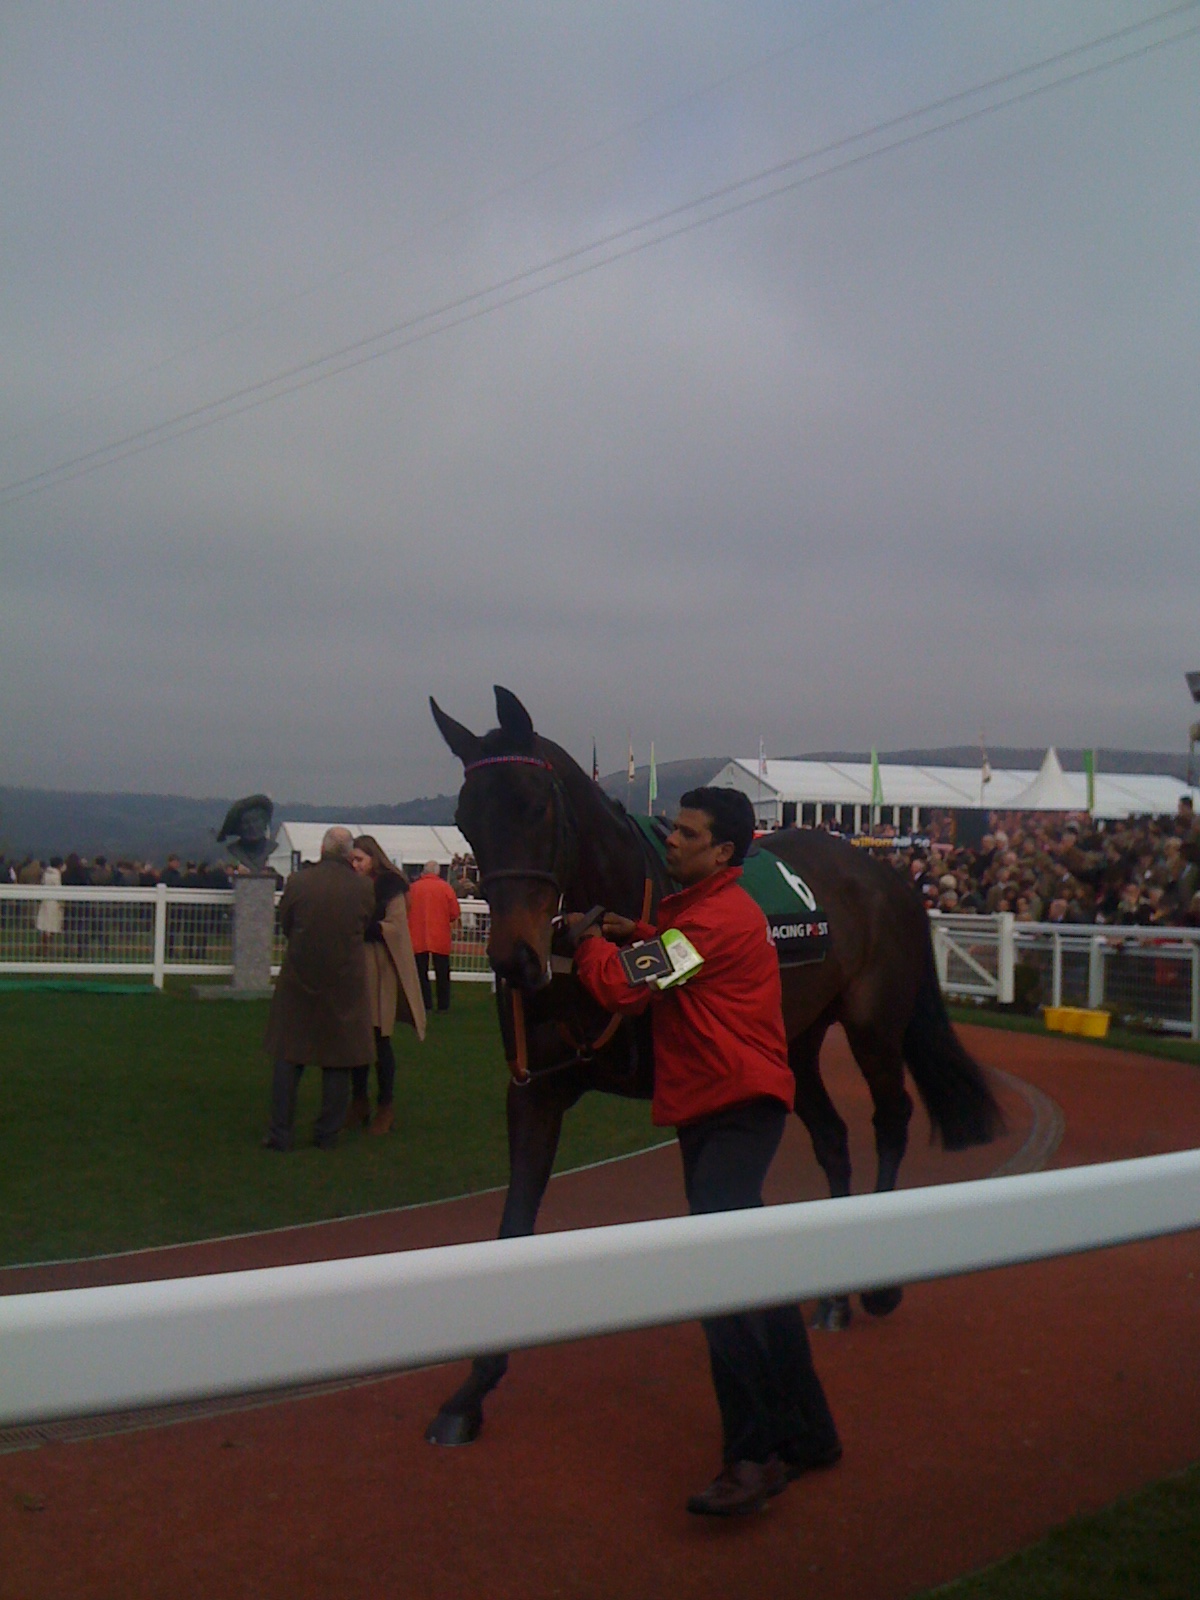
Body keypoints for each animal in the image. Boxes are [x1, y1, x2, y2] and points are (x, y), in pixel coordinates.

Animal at [424, 686, 1002, 1445]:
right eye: (466, 819)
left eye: (534, 806)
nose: (514, 960)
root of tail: (881, 871)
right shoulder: (535, 1092)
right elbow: (514, 1225)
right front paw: (471, 1391)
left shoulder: (690, 1096)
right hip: (792, 1043)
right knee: (831, 1135)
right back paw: (834, 1297)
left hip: (874, 1026)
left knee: (891, 1119)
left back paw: (875, 1285)